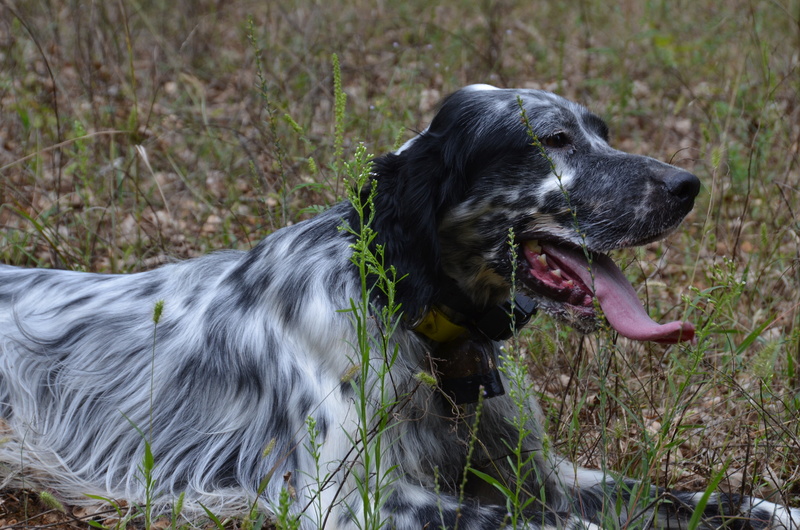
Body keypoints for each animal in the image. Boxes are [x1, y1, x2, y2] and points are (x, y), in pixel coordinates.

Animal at [1, 84, 800, 524]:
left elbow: (695, 497)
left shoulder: (539, 474)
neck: (425, 329)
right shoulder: (358, 498)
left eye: (600, 132)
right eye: (554, 139)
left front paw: (778, 509)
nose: (687, 186)